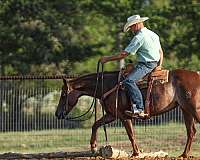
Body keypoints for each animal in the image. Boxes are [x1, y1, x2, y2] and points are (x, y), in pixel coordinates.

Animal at [55, 69, 200, 158]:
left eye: (63, 95)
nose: (57, 114)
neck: (108, 85)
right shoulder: (111, 115)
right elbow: (95, 124)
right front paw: (93, 147)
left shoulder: (124, 116)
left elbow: (131, 134)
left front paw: (136, 153)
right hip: (185, 110)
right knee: (191, 131)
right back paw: (184, 155)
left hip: (194, 109)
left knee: (192, 130)